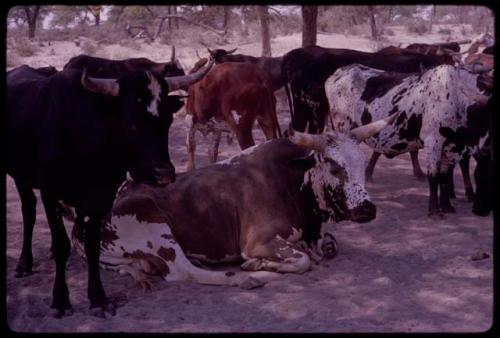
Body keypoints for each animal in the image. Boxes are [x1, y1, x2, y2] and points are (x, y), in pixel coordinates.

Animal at [6, 60, 213, 316]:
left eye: (167, 120)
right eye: (130, 122)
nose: (163, 173)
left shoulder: (101, 197)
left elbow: (93, 246)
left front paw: (99, 299)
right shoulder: (50, 193)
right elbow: (64, 244)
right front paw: (61, 300)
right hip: (21, 177)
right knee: (29, 211)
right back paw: (24, 263)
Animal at [69, 117, 394, 290]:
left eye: (362, 163)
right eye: (333, 165)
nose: (367, 209)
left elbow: (329, 245)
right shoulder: (259, 241)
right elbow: (302, 260)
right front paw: (258, 263)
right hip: (154, 227)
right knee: (183, 271)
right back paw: (245, 278)